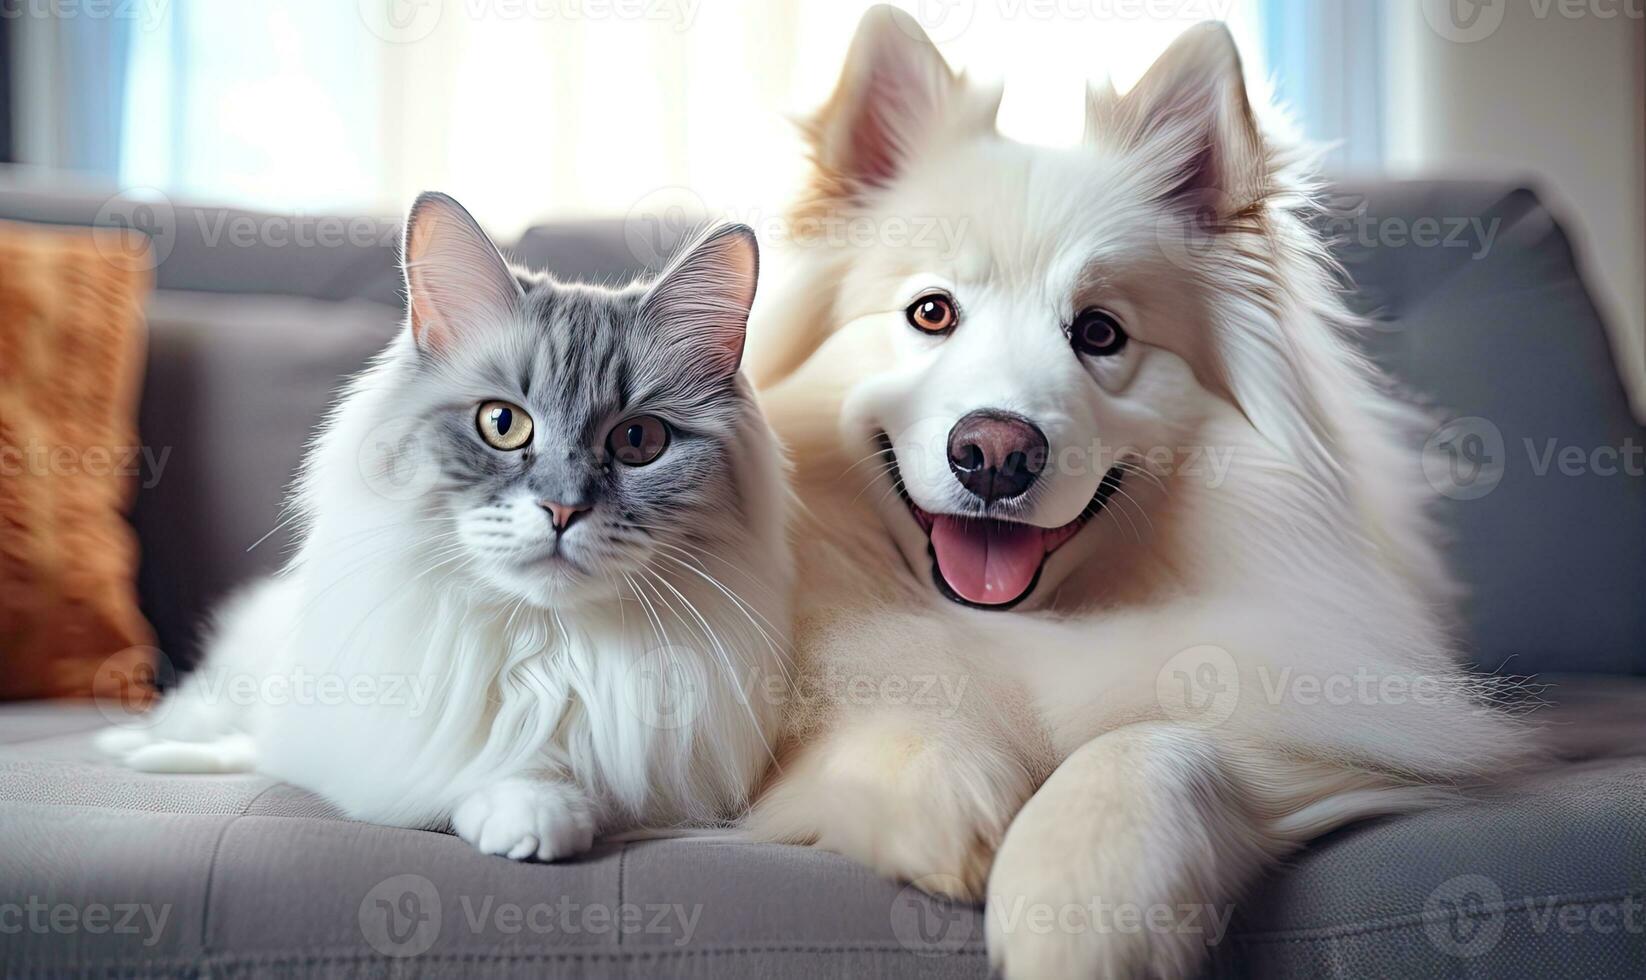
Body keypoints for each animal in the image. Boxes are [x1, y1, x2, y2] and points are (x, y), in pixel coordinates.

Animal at [99, 189, 793, 856]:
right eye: (503, 424)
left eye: (638, 440)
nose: (563, 509)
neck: (548, 650)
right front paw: (529, 814)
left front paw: (543, 820)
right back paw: (139, 748)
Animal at [747, 9, 1527, 980]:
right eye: (932, 313)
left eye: (1099, 332)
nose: (995, 453)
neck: (1022, 628)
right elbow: (886, 707)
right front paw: (948, 794)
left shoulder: (1323, 717)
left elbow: (1159, 738)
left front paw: (1079, 899)